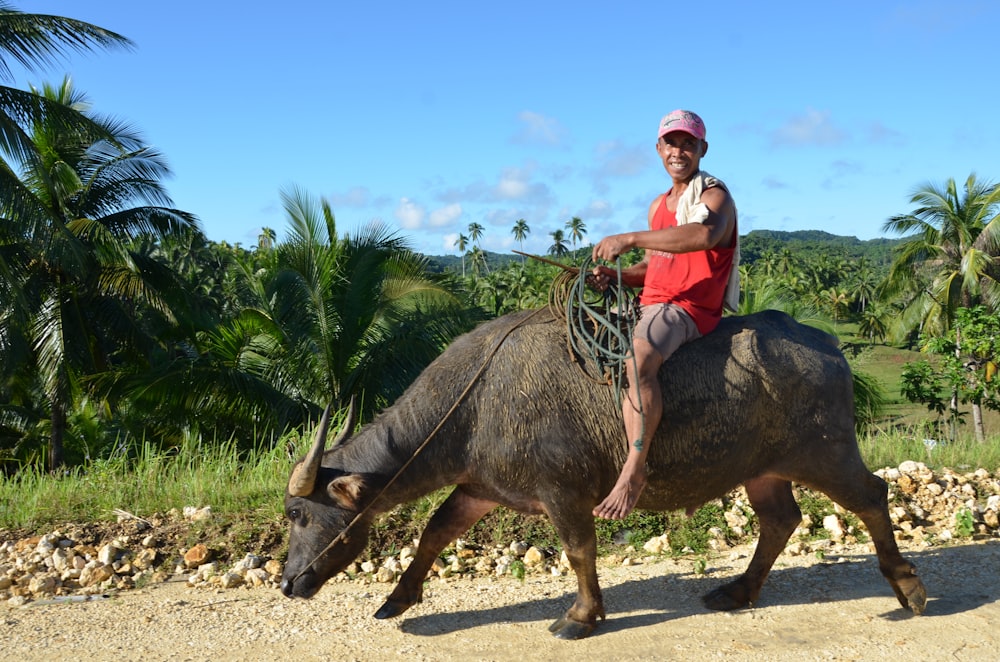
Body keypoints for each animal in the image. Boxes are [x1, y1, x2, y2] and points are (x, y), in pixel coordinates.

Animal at [278, 308, 924, 640]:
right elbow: (435, 531)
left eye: (299, 512)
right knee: (781, 520)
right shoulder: (481, 487)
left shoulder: (562, 491)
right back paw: (739, 590)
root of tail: (826, 343)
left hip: (825, 452)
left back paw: (907, 589)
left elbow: (579, 550)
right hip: (763, 469)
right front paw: (397, 599)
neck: (476, 401)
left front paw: (581, 616)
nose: (287, 583)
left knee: (872, 495)